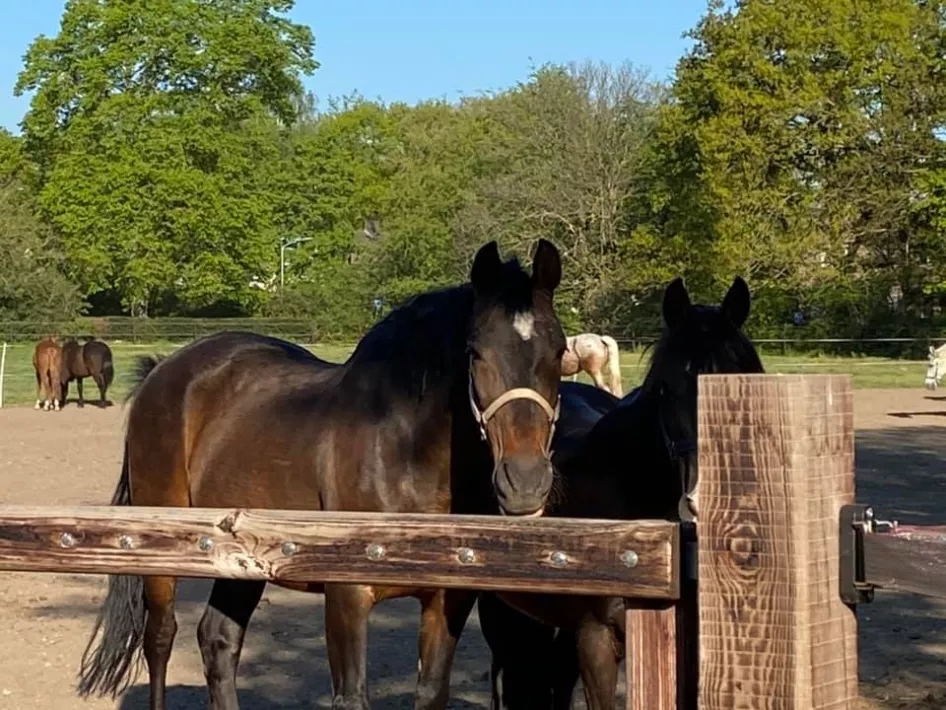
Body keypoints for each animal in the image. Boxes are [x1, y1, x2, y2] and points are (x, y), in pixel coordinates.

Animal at [76, 239, 567, 710]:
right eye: (475, 352)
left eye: (560, 350)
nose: (525, 482)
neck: (405, 455)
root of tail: (163, 370)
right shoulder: (346, 597)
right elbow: (351, 697)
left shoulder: (448, 600)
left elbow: (430, 693)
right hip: (161, 552)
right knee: (160, 637)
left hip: (240, 560)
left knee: (218, 640)